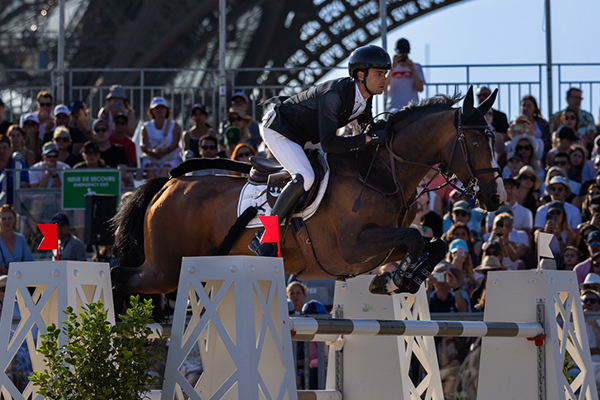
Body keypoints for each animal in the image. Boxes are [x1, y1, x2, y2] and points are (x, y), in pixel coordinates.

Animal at [110, 85, 504, 304]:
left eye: (494, 139)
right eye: (474, 140)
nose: (496, 197)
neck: (380, 171)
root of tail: (167, 186)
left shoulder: (376, 247)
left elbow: (432, 243)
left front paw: (397, 279)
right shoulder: (351, 247)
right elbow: (415, 238)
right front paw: (397, 279)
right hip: (164, 269)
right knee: (119, 277)